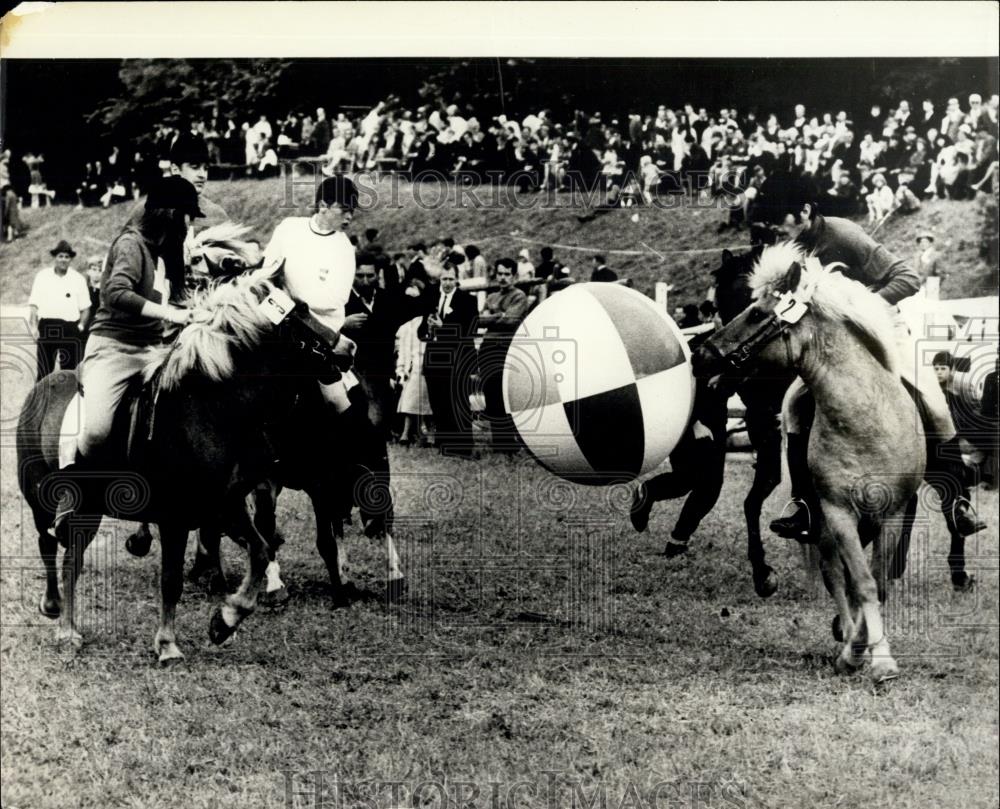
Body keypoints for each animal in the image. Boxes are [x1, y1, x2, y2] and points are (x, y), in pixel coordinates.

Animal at [16, 272, 356, 664]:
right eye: (299, 313)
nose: (349, 348)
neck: (207, 411)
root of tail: (41, 387)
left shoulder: (225, 507)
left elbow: (260, 551)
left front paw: (225, 621)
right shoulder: (174, 518)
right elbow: (171, 581)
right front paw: (168, 645)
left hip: (89, 510)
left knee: (73, 558)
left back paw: (68, 624)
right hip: (42, 500)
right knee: (48, 544)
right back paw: (57, 614)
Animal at [696, 241, 920, 680]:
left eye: (757, 313)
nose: (702, 354)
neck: (867, 422)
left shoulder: (892, 514)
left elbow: (878, 582)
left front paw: (877, 653)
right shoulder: (837, 513)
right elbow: (859, 582)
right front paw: (862, 652)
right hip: (822, 523)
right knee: (835, 575)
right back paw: (848, 636)